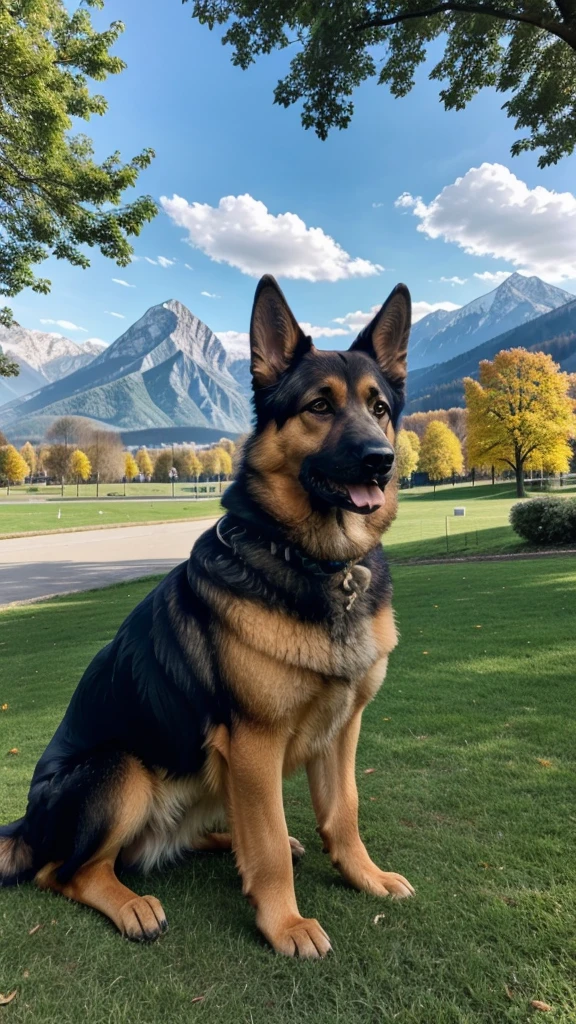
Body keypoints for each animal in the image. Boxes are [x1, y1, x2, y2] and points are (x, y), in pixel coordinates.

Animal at [0, 276, 412, 954]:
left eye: (379, 408)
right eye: (319, 407)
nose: (382, 459)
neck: (317, 563)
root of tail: (27, 826)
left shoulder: (340, 731)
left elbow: (342, 813)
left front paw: (364, 876)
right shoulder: (254, 745)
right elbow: (265, 843)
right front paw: (285, 924)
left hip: (205, 780)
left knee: (188, 839)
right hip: (122, 769)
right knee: (63, 871)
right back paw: (130, 904)